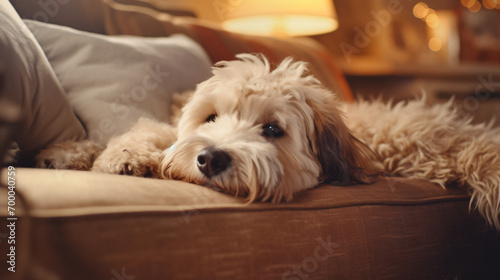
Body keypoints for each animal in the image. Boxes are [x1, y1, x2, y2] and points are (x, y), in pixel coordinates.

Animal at [36, 54, 500, 230]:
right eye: (211, 117)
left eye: (274, 130)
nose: (209, 158)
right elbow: (154, 131)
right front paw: (100, 154)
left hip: (420, 139)